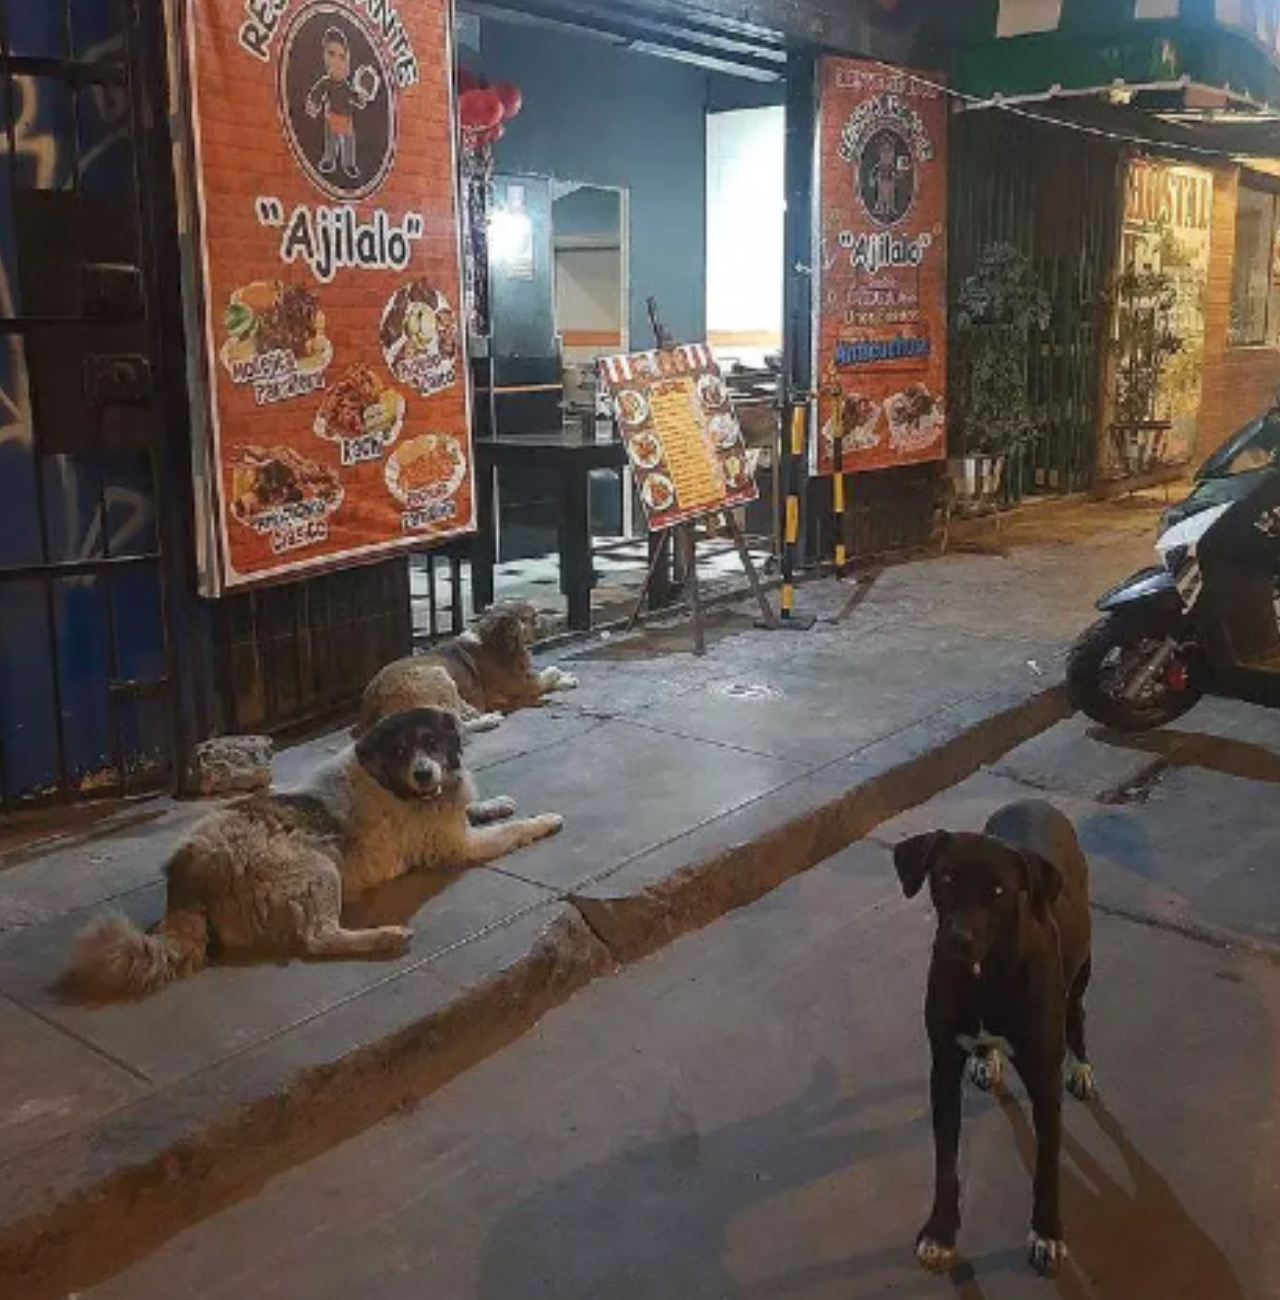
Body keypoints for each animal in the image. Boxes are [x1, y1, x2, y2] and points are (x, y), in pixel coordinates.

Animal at [68, 712, 558, 993]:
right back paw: (385, 936)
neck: (388, 780)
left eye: (432, 744)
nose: (424, 774)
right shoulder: (458, 846)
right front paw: (544, 821)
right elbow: (512, 831)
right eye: (400, 750)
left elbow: (477, 807)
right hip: (319, 870)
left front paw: (495, 802)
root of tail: (185, 877)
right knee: (317, 938)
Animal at [358, 600, 579, 738]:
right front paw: (565, 678)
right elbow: (549, 673)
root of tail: (372, 700)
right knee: (456, 727)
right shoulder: (524, 684)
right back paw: (488, 719)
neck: (495, 642)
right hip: (437, 674)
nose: (563, 620)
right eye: (533, 617)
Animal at [894, 795, 1091, 1274]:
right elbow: (945, 1161)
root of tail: (1033, 801)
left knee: (1077, 1014)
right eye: (945, 877)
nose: (957, 941)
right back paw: (987, 1058)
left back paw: (1081, 1066)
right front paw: (940, 1232)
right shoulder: (943, 1068)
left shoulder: (1044, 1079)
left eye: (999, 891)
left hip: (1080, 973)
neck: (985, 973)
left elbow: (1047, 1164)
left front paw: (1047, 1233)